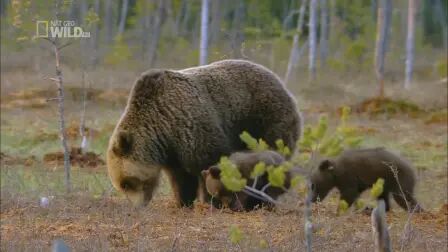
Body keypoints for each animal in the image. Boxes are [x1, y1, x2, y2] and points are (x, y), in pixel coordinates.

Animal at [106, 60, 300, 208]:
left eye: (127, 183)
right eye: (122, 185)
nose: (137, 206)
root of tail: (281, 84)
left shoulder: (192, 128)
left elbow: (208, 162)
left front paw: (209, 200)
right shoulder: (173, 151)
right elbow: (180, 178)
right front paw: (182, 202)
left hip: (265, 118)